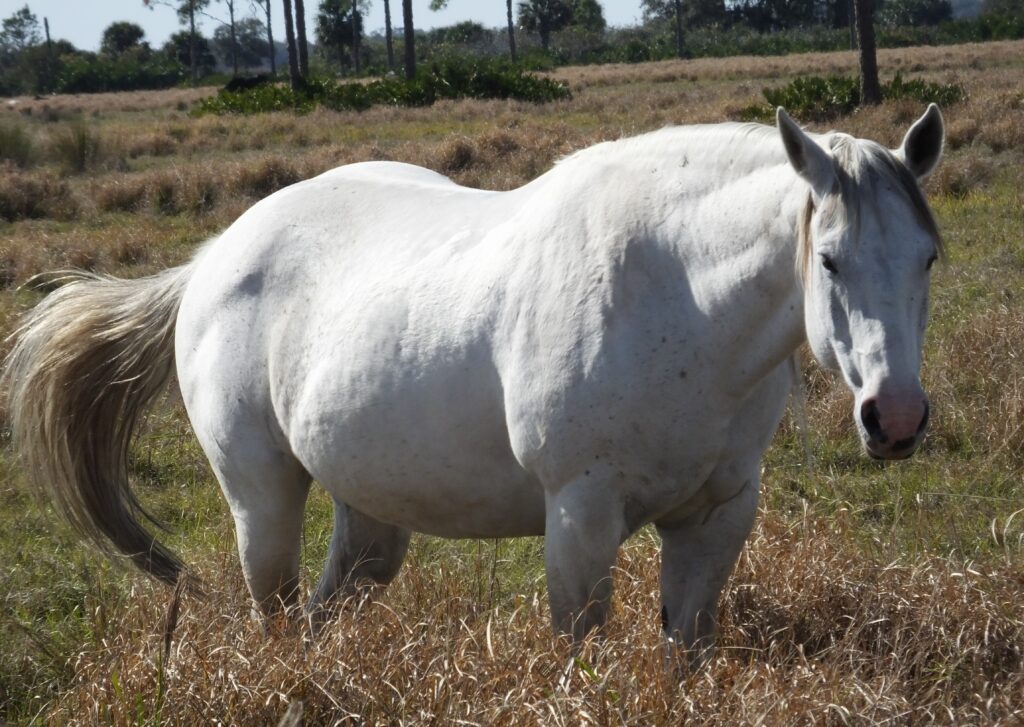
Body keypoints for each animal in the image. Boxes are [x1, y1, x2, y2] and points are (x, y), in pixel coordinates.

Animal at [1, 105, 944, 658]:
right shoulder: (580, 518)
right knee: (273, 610)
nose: (894, 418)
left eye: (928, 257)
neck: (678, 293)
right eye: (829, 258)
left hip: (370, 514)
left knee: (326, 609)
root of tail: (210, 262)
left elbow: (685, 648)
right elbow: (578, 649)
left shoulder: (717, 518)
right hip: (260, 499)